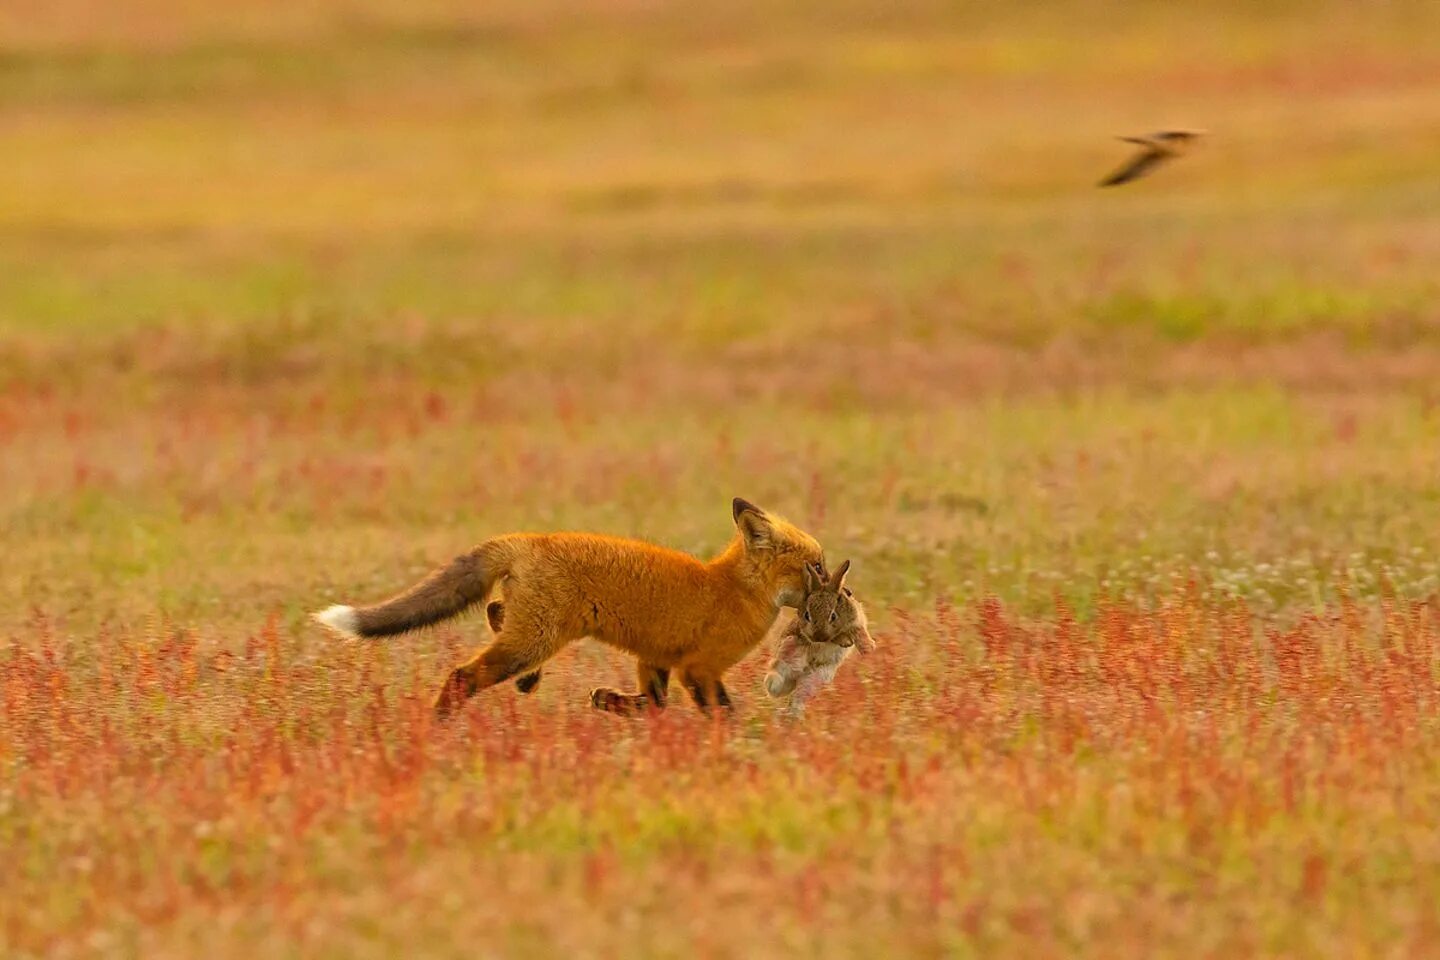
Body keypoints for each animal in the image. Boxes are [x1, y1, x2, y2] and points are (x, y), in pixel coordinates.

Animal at [316, 495, 829, 719]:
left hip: (534, 630)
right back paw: (439, 722)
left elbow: (653, 704)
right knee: (464, 674)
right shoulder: (699, 669)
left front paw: (610, 703)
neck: (732, 588)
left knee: (495, 612)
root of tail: (532, 539)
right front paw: (742, 750)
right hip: (534, 639)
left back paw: (527, 681)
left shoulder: (657, 658)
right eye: (817, 566)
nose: (837, 585)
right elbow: (720, 714)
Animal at [766, 558, 875, 716]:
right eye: (807, 615)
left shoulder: (856, 620)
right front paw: (845, 641)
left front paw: (868, 649)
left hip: (818, 677)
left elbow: (860, 632)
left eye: (833, 616)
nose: (818, 636)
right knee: (777, 681)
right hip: (786, 654)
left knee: (799, 697)